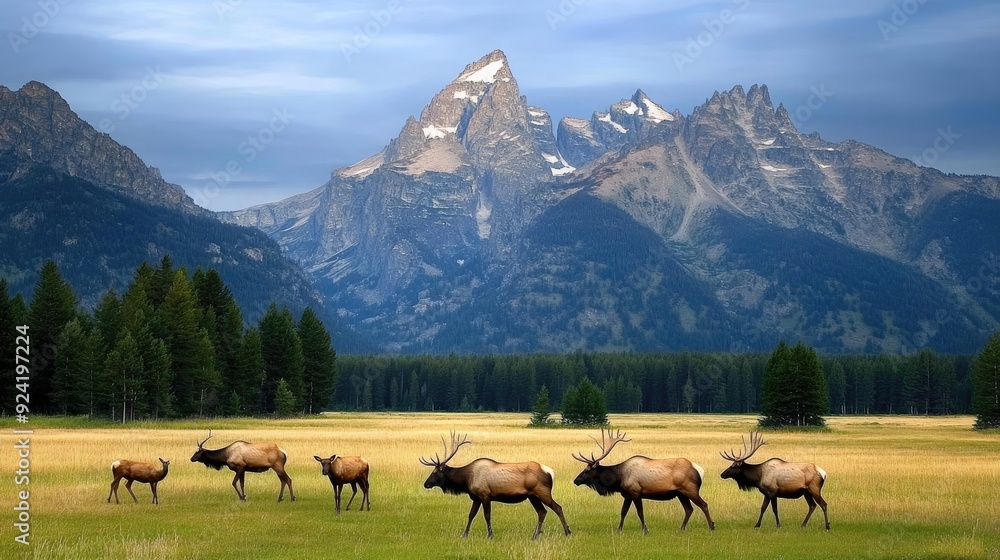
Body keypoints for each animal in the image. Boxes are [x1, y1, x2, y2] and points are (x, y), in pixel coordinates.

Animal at [420, 431, 572, 540]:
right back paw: (535, 535)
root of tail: (550, 472)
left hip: (542, 492)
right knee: (542, 511)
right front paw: (464, 534)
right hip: (532, 496)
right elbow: (471, 515)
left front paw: (490, 535)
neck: (466, 480)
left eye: (434, 472)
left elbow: (487, 515)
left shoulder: (485, 494)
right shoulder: (476, 498)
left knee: (557, 507)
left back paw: (567, 532)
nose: (426, 484)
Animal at [573, 428, 715, 534]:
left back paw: (711, 526)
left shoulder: (635, 491)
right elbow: (623, 512)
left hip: (690, 489)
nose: (576, 480)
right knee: (689, 509)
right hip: (680, 493)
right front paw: (619, 530)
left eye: (586, 471)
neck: (619, 478)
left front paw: (645, 530)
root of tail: (699, 470)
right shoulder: (628, 494)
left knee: (703, 504)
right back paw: (682, 528)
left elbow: (640, 512)